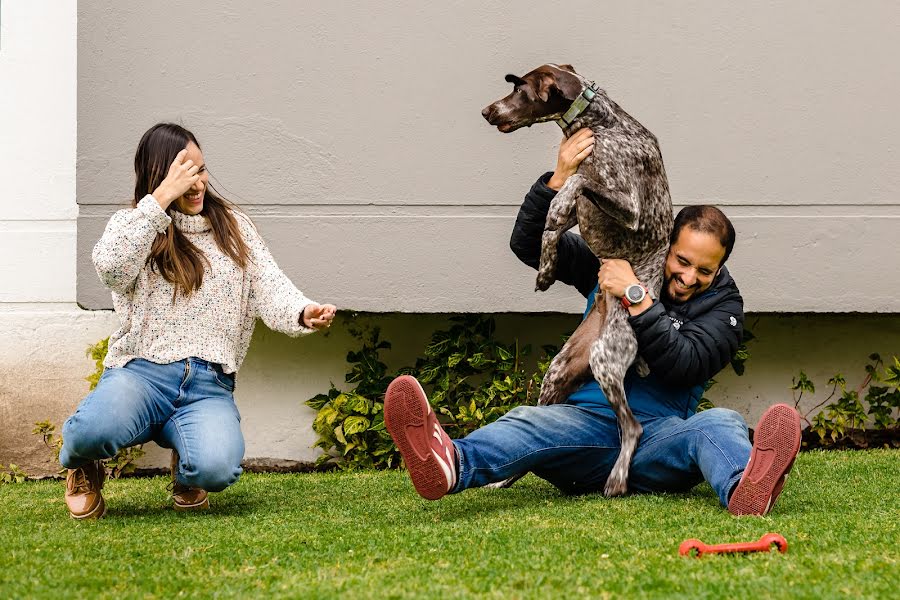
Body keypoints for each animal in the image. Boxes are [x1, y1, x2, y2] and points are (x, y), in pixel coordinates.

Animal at [482, 64, 672, 496]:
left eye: (518, 88)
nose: (486, 111)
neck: (603, 125)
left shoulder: (630, 206)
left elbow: (573, 186)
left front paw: (555, 211)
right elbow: (552, 225)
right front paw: (545, 270)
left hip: (605, 357)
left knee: (632, 429)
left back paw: (617, 480)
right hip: (558, 372)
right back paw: (502, 480)